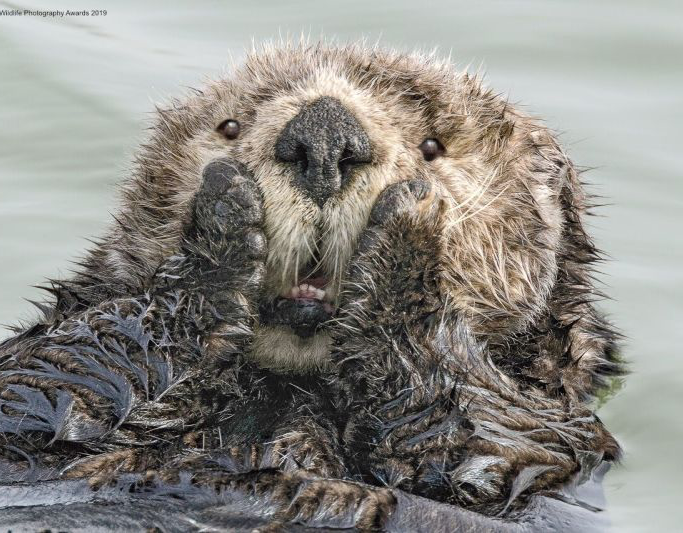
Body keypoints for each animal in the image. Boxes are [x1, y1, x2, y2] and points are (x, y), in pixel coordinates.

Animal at [0, 43, 620, 528]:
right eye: (230, 127)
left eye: (433, 147)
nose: (323, 136)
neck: (290, 387)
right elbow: (40, 381)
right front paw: (222, 216)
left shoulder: (552, 436)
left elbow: (471, 441)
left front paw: (409, 226)